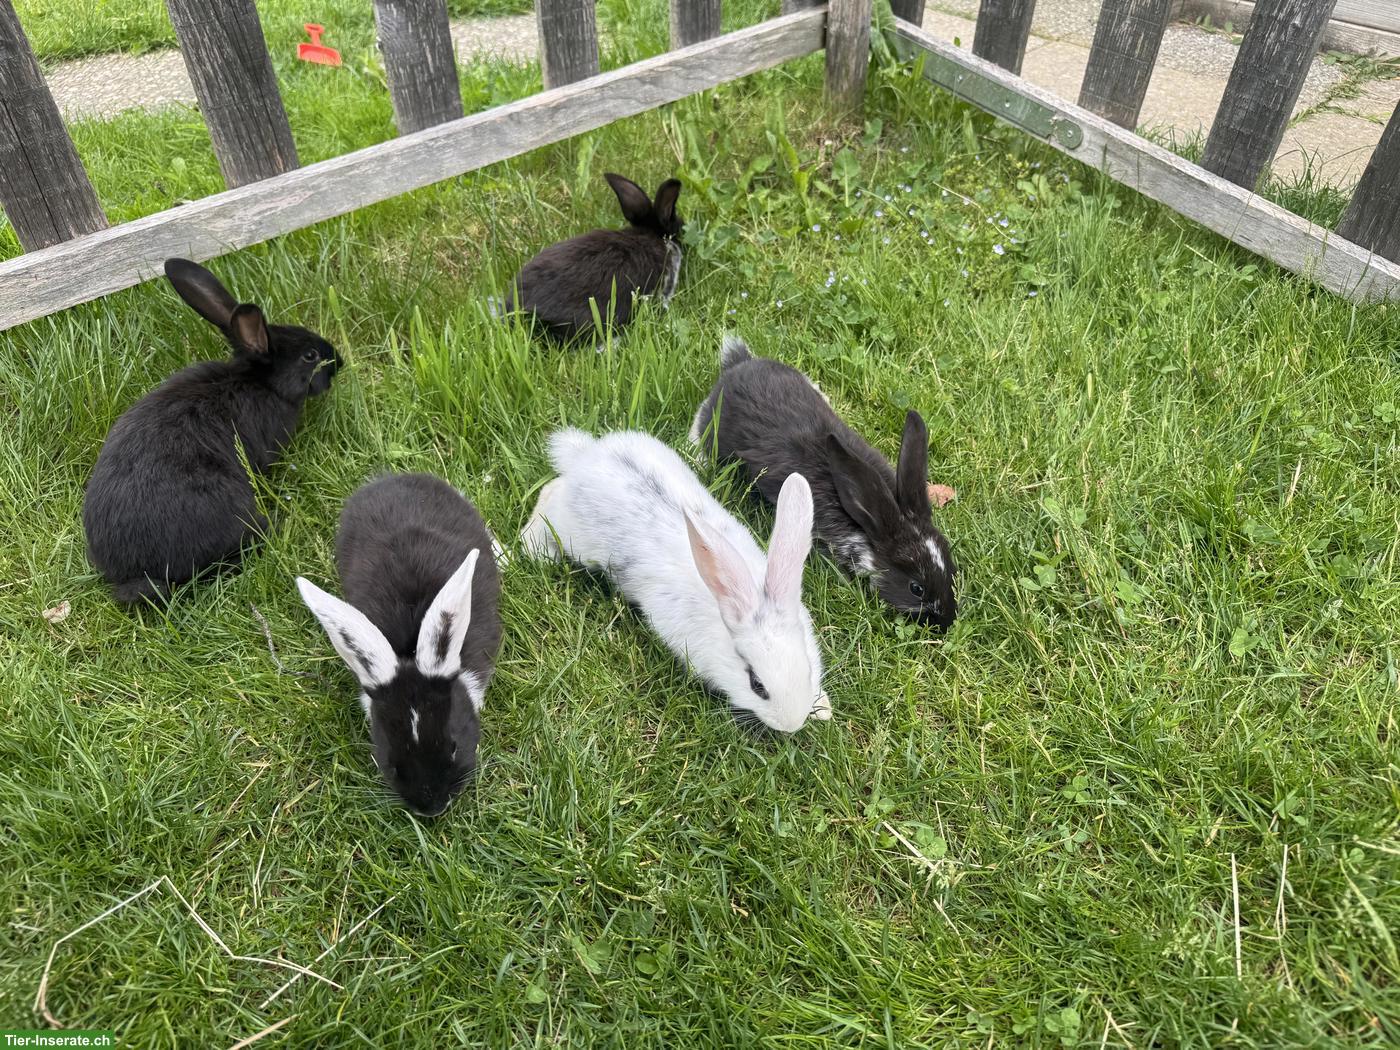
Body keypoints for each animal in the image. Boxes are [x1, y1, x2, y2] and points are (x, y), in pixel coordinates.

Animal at [521, 428, 830, 733]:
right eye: (757, 685)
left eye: (807, 670)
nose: (791, 724)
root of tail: (585, 456)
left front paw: (823, 708)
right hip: (573, 535)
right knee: (549, 493)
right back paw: (535, 549)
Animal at [690, 336, 956, 628]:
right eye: (916, 588)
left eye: (952, 569)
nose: (947, 621)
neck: (869, 526)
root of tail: (739, 365)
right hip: (713, 426)